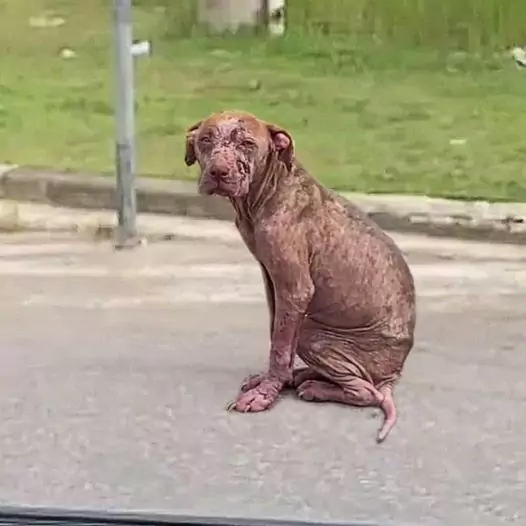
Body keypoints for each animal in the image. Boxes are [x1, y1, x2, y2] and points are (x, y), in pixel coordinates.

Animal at [185, 109, 416, 444]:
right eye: (205, 140)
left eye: (247, 143)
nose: (218, 171)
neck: (269, 190)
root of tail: (393, 375)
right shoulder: (273, 280)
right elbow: (278, 335)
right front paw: (274, 381)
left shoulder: (294, 288)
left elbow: (280, 347)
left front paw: (266, 393)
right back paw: (305, 375)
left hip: (314, 336)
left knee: (366, 392)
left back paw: (317, 388)